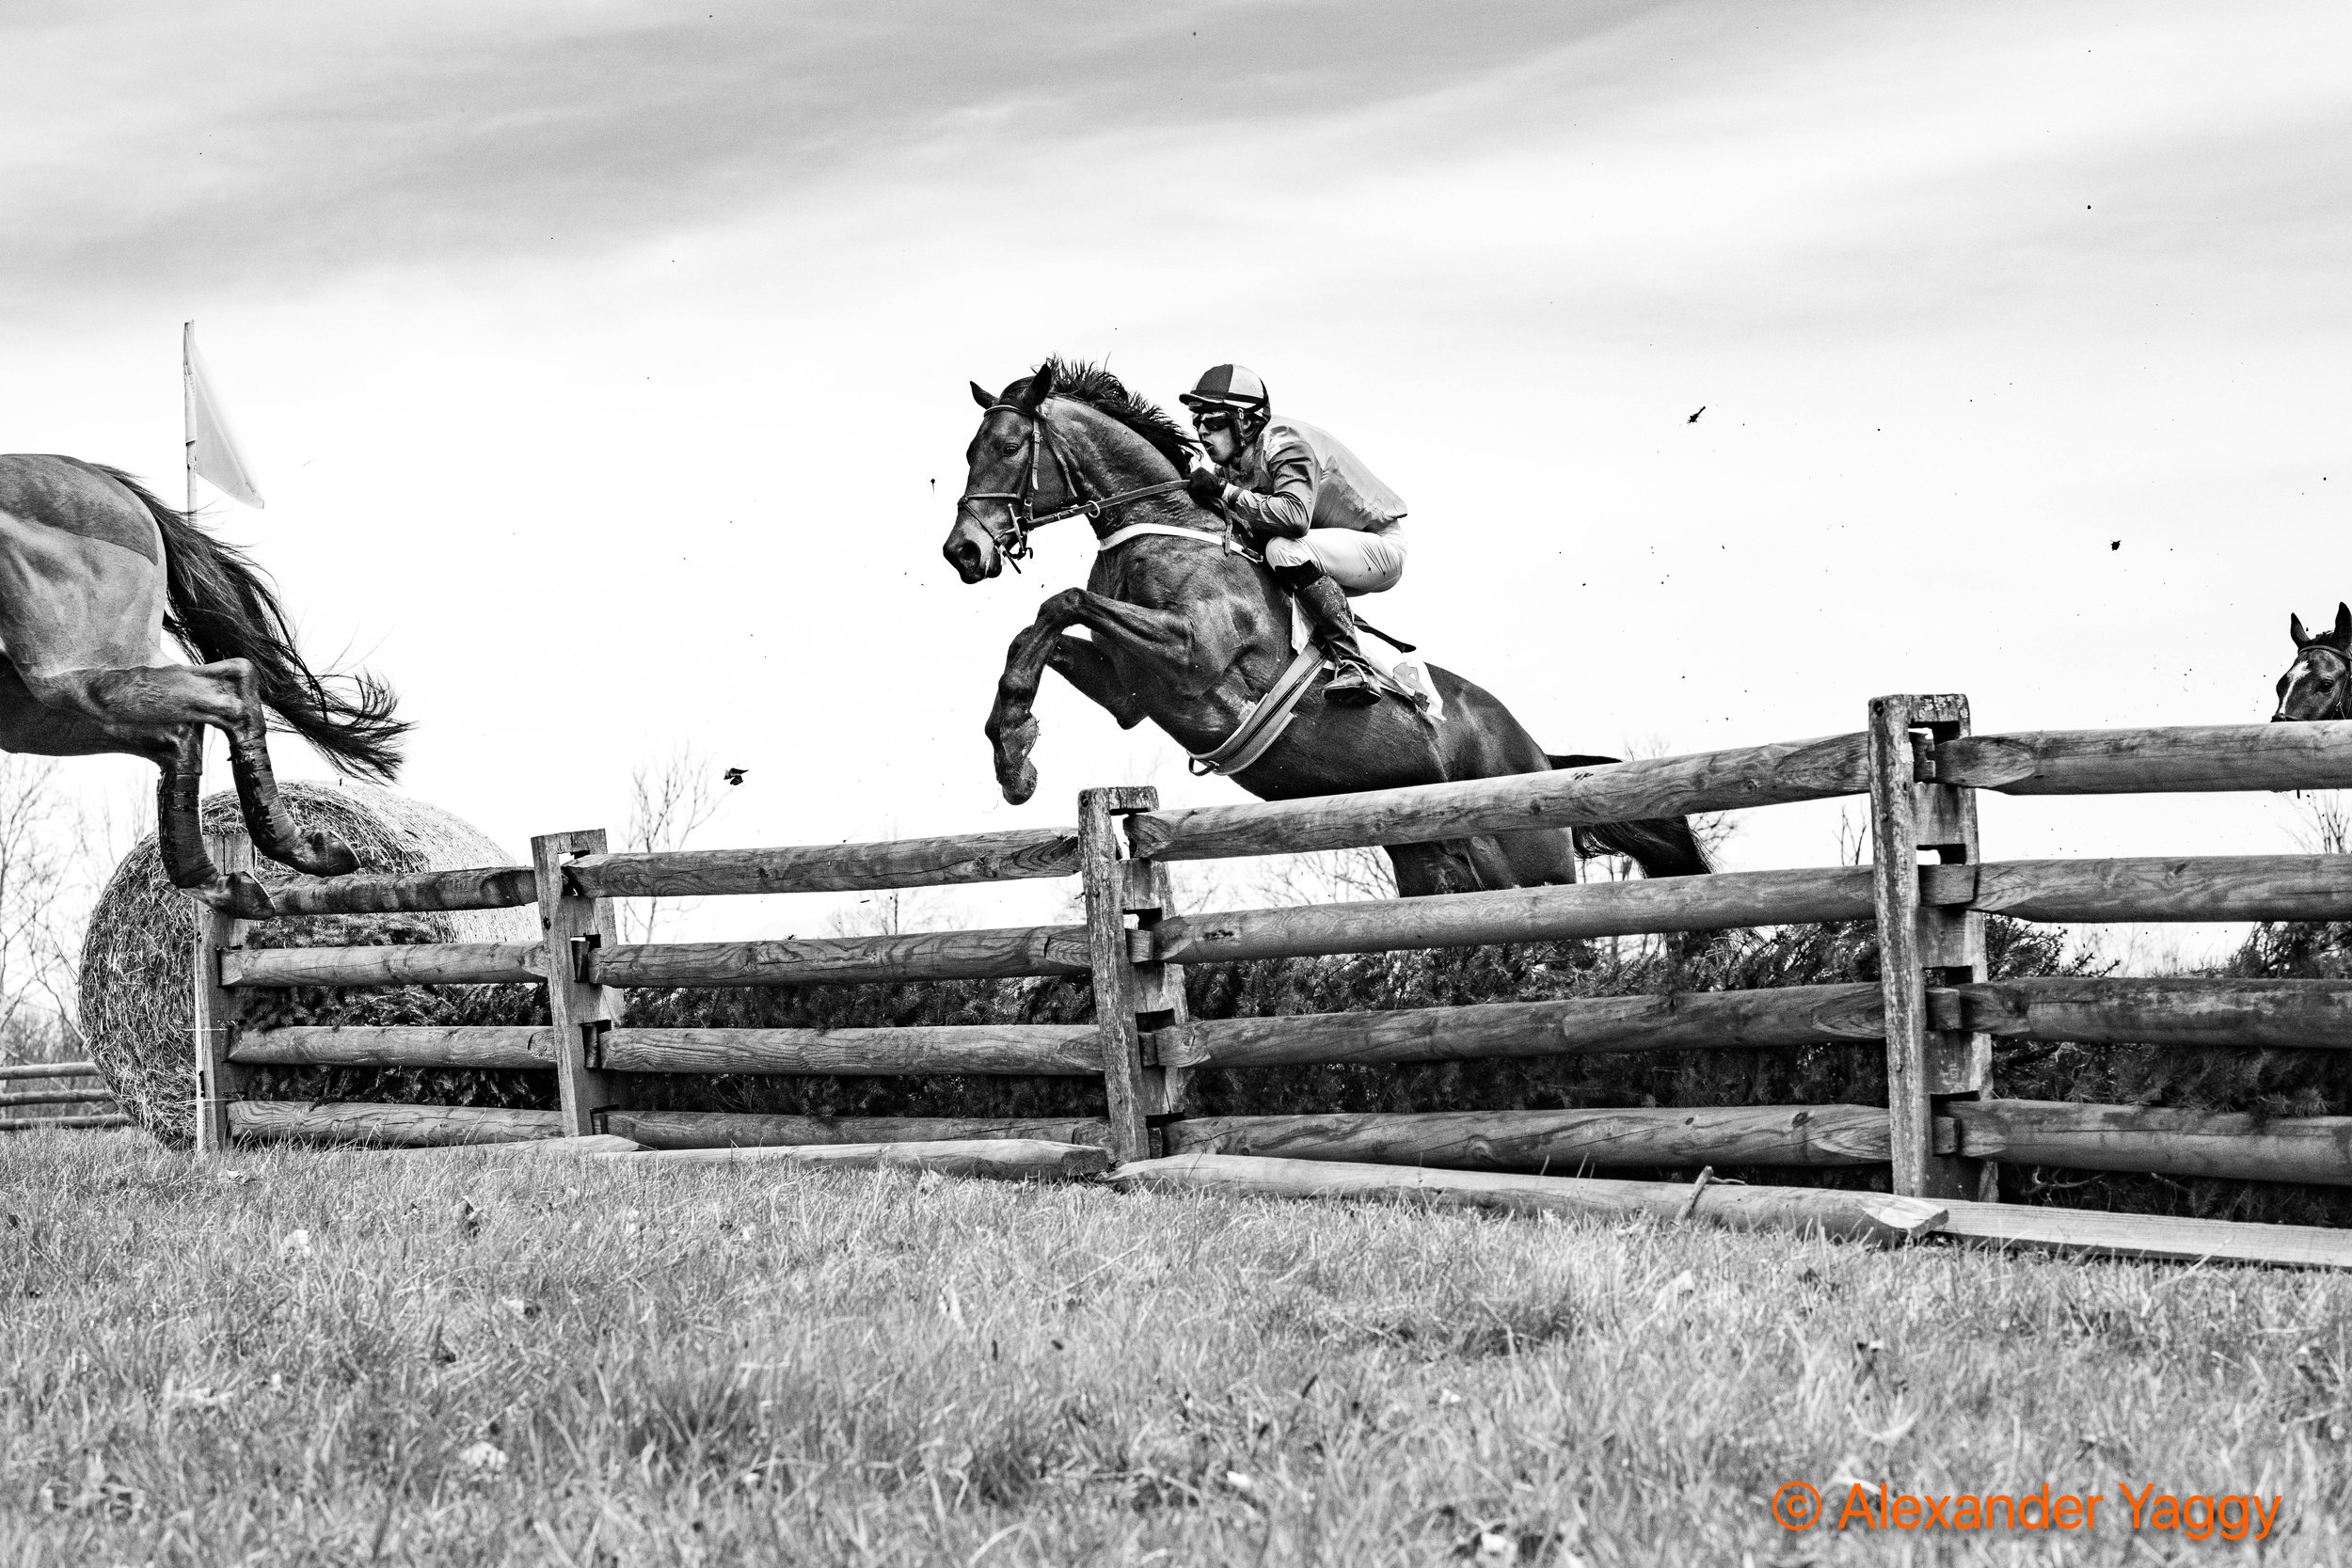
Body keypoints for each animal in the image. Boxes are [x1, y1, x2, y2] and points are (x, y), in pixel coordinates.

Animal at [0, 453, 406, 921]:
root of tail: (103, 478)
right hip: (38, 703)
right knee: (182, 731)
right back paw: (222, 881)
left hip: (73, 667)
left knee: (234, 685)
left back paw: (289, 848)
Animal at [941, 359, 1712, 893]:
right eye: (969, 451)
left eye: (1007, 447)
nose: (962, 552)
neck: (1164, 523)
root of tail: (1541, 759)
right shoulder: (1133, 689)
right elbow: (1037, 632)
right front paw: (1013, 754)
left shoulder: (1192, 655)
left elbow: (1061, 602)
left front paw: (1014, 750)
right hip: (1432, 864)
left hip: (1527, 868)